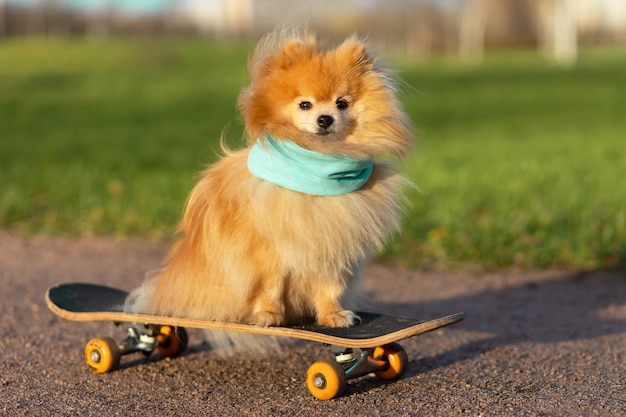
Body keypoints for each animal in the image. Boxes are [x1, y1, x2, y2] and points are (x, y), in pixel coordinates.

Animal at [124, 29, 412, 328]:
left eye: (341, 103)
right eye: (305, 105)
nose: (325, 119)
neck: (316, 168)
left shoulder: (333, 248)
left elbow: (329, 287)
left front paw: (332, 314)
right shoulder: (267, 253)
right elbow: (270, 287)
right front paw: (267, 315)